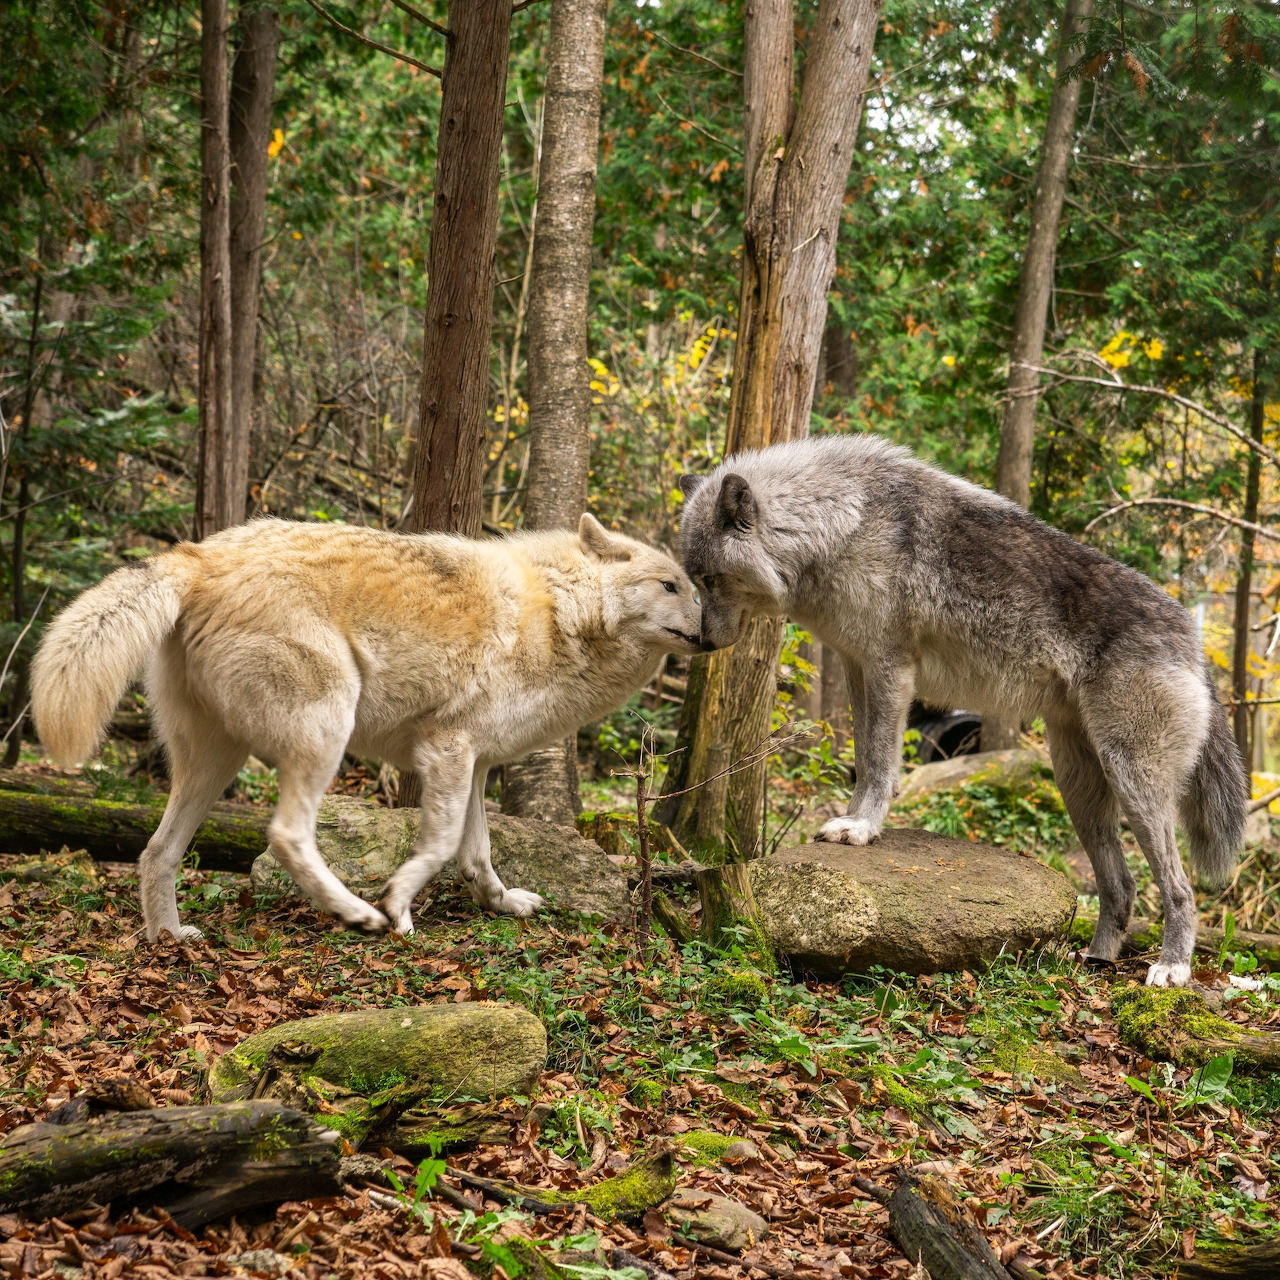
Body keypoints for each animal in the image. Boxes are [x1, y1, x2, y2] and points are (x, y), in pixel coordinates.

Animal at [32, 516, 701, 942]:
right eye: (669, 586)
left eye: (694, 590)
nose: (714, 628)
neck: (563, 613)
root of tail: (196, 554)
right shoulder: (445, 752)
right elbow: (439, 846)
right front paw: (399, 906)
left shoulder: (474, 764)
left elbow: (477, 854)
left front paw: (504, 903)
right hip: (324, 730)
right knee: (285, 836)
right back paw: (357, 914)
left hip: (214, 764)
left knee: (156, 852)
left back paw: (168, 937)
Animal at [678, 434, 1245, 987]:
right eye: (695, 579)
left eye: (712, 579)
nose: (701, 642)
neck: (840, 523)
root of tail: (1192, 639)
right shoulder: (857, 665)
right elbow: (864, 760)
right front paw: (853, 819)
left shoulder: (889, 667)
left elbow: (879, 764)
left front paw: (862, 828)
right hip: (1078, 785)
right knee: (1122, 885)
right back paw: (1095, 960)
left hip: (1133, 784)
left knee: (1180, 888)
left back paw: (1173, 967)